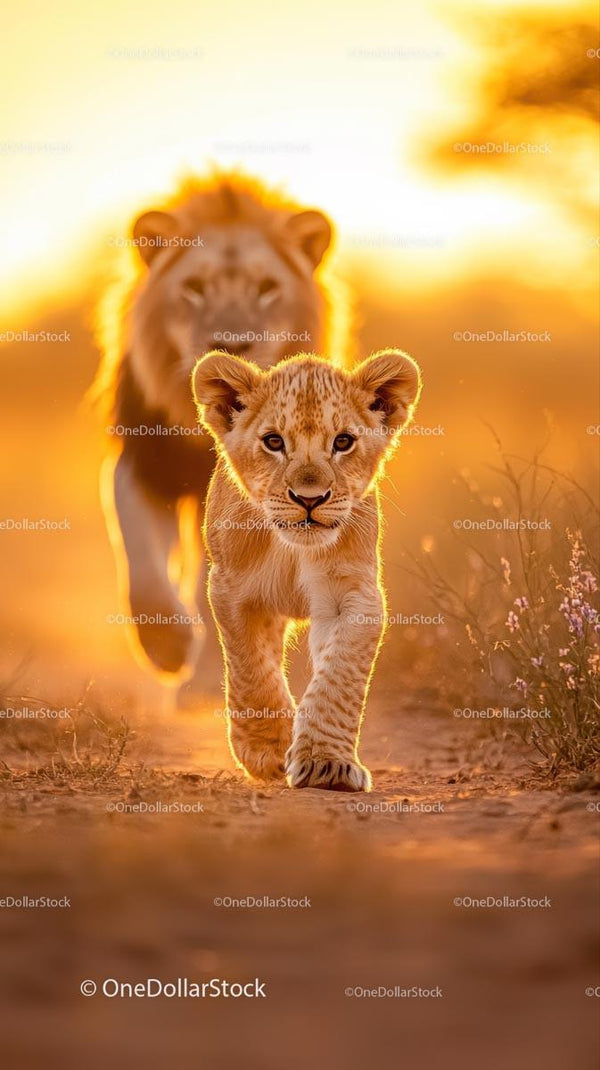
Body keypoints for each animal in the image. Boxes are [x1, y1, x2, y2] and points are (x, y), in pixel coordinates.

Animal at [92, 171, 351, 694]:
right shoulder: (144, 465)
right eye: (194, 288)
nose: (230, 345)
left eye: (267, 288)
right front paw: (167, 649)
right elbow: (142, 563)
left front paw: (210, 678)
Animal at [192, 347, 422, 791]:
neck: (293, 551)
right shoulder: (232, 589)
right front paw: (267, 749)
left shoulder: (354, 592)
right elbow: (251, 668)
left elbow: (340, 675)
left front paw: (325, 764)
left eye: (343, 441)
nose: (310, 499)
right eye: (274, 442)